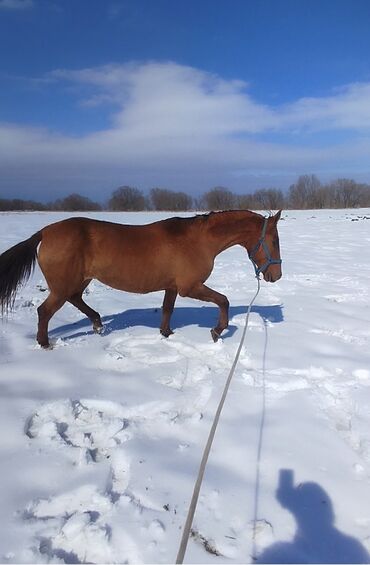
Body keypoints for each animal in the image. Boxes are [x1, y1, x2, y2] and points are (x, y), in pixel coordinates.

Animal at [0, 209, 282, 346]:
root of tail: (45, 232)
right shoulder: (190, 286)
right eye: (275, 241)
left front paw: (166, 334)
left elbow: (167, 309)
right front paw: (217, 331)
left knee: (76, 299)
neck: (199, 240)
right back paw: (45, 343)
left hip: (79, 281)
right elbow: (223, 300)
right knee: (44, 311)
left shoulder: (172, 286)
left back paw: (98, 324)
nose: (276, 275)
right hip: (62, 286)